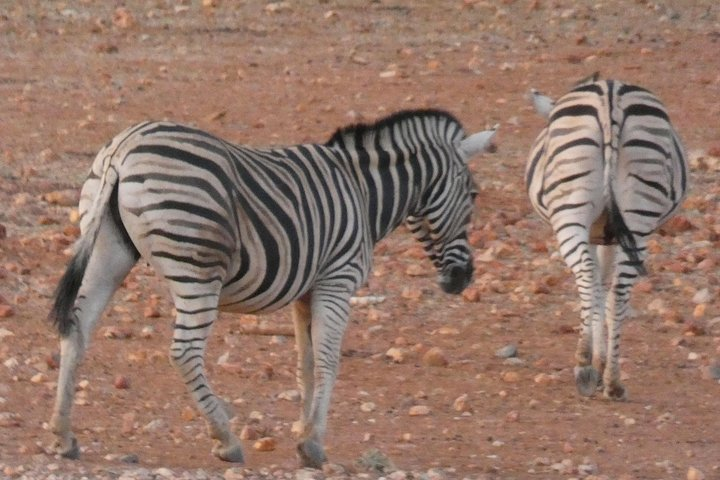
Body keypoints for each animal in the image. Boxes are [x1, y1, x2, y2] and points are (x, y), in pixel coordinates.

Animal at [48, 110, 497, 467]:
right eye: (474, 195)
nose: (463, 280)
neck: (362, 192)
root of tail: (125, 147)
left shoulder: (307, 290)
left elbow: (305, 362)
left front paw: (302, 430)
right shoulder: (338, 279)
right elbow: (329, 360)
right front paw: (314, 445)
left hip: (109, 249)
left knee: (77, 329)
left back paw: (64, 434)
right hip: (198, 268)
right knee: (184, 352)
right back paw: (226, 440)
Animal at [525, 78, 688, 400]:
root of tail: (610, 94)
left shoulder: (597, 235)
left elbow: (596, 287)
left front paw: (595, 362)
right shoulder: (610, 236)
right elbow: (603, 287)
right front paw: (602, 364)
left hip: (571, 212)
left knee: (589, 276)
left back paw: (585, 367)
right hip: (638, 214)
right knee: (618, 290)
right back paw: (613, 380)